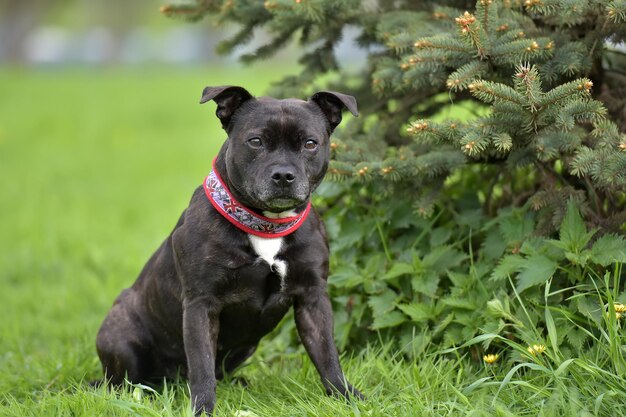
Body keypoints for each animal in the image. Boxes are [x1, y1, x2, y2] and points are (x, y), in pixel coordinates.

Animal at [97, 84, 360, 412]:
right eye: (255, 141)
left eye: (310, 143)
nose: (283, 175)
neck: (266, 225)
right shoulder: (201, 305)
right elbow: (202, 366)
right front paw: (202, 410)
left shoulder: (313, 298)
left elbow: (327, 355)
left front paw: (347, 398)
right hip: (119, 336)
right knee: (124, 381)